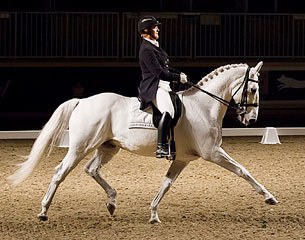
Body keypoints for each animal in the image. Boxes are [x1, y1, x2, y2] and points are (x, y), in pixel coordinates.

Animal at [7, 61, 278, 223]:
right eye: (253, 90)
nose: (251, 119)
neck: (203, 106)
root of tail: (82, 101)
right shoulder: (213, 152)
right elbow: (243, 171)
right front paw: (269, 197)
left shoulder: (182, 158)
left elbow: (166, 184)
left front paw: (154, 214)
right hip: (80, 147)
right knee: (59, 172)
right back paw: (44, 211)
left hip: (108, 147)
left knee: (91, 169)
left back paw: (112, 202)